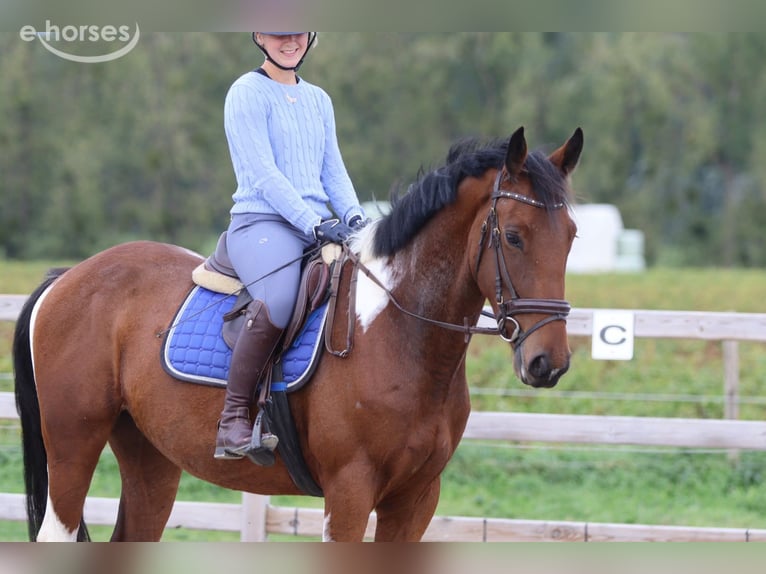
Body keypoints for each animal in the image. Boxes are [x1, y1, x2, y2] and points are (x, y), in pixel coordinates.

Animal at [13, 126, 583, 542]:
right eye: (513, 236)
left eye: (572, 237)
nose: (547, 363)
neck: (401, 336)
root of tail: (66, 277)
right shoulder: (349, 492)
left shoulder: (417, 498)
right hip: (73, 446)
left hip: (149, 457)